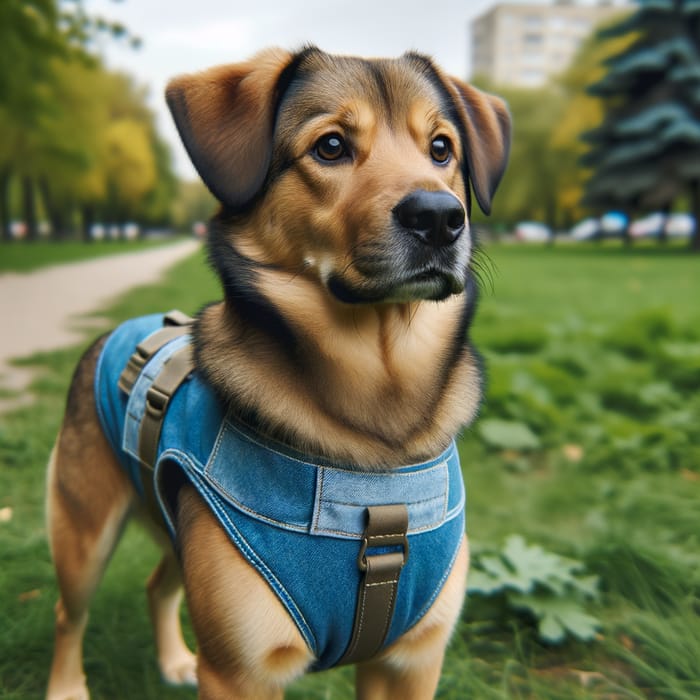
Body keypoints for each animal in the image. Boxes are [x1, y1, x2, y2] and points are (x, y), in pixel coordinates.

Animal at [46, 46, 512, 696]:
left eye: (441, 149)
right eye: (332, 146)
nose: (441, 217)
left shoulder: (412, 661)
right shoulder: (238, 671)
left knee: (157, 584)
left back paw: (173, 659)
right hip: (84, 530)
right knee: (70, 613)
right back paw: (67, 684)